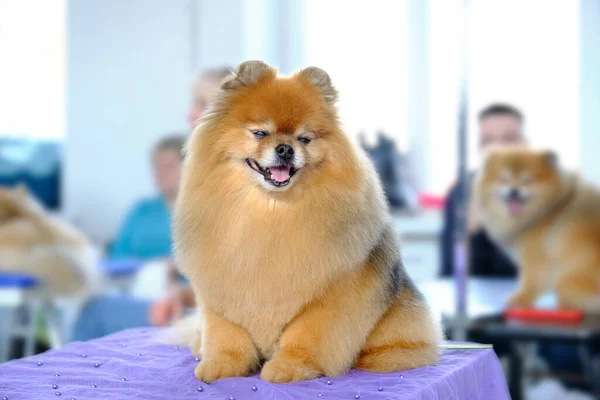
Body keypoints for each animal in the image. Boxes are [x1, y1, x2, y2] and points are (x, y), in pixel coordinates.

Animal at [173, 61, 440, 382]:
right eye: (260, 133)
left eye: (304, 139)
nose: (285, 149)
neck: (270, 212)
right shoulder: (221, 291)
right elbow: (226, 334)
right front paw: (222, 365)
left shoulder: (327, 297)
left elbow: (306, 336)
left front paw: (289, 367)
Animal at [474, 148, 600, 310]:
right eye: (504, 179)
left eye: (528, 180)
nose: (514, 191)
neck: (547, 211)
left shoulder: (535, 255)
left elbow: (531, 280)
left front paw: (520, 299)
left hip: (568, 282)